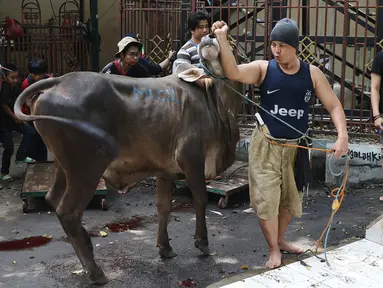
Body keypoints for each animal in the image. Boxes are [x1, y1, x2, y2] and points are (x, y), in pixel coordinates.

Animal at [14, 35, 246, 284]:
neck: (215, 101)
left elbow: (163, 206)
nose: (210, 35)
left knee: (53, 198)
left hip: (62, 166)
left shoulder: (165, 169)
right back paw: (95, 271)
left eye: (231, 43)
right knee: (68, 212)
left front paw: (165, 247)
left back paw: (87, 249)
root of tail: (59, 81)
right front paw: (202, 242)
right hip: (86, 168)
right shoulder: (191, 158)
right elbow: (200, 198)